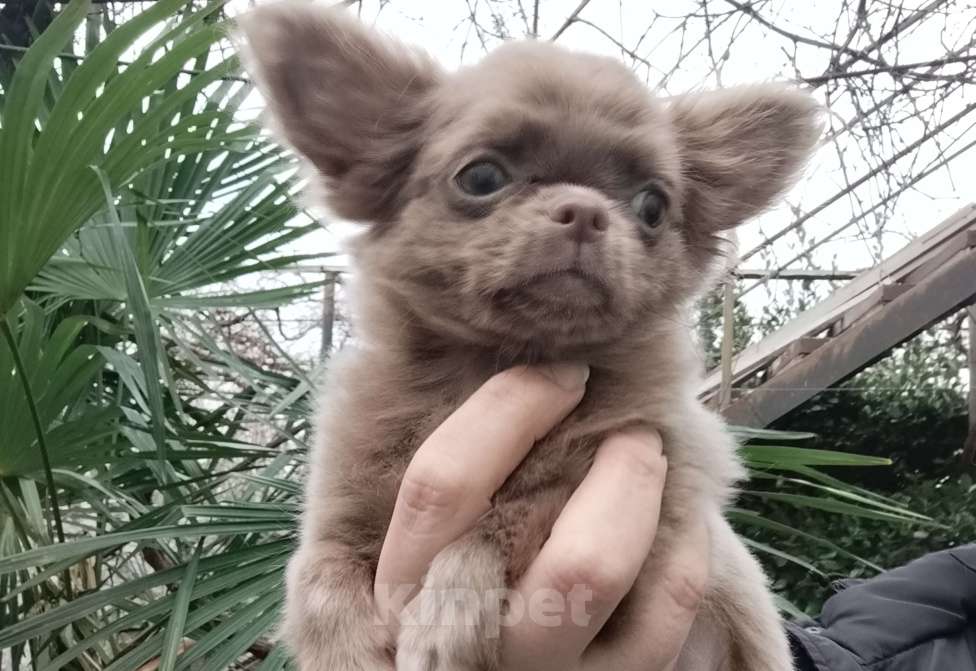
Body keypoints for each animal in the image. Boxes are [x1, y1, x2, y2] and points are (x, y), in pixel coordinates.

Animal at [237, 3, 822, 670]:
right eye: (482, 177)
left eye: (651, 207)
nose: (586, 212)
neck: (495, 365)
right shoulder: (340, 507)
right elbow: (313, 576)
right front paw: (344, 650)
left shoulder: (659, 502)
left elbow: (516, 513)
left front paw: (446, 617)